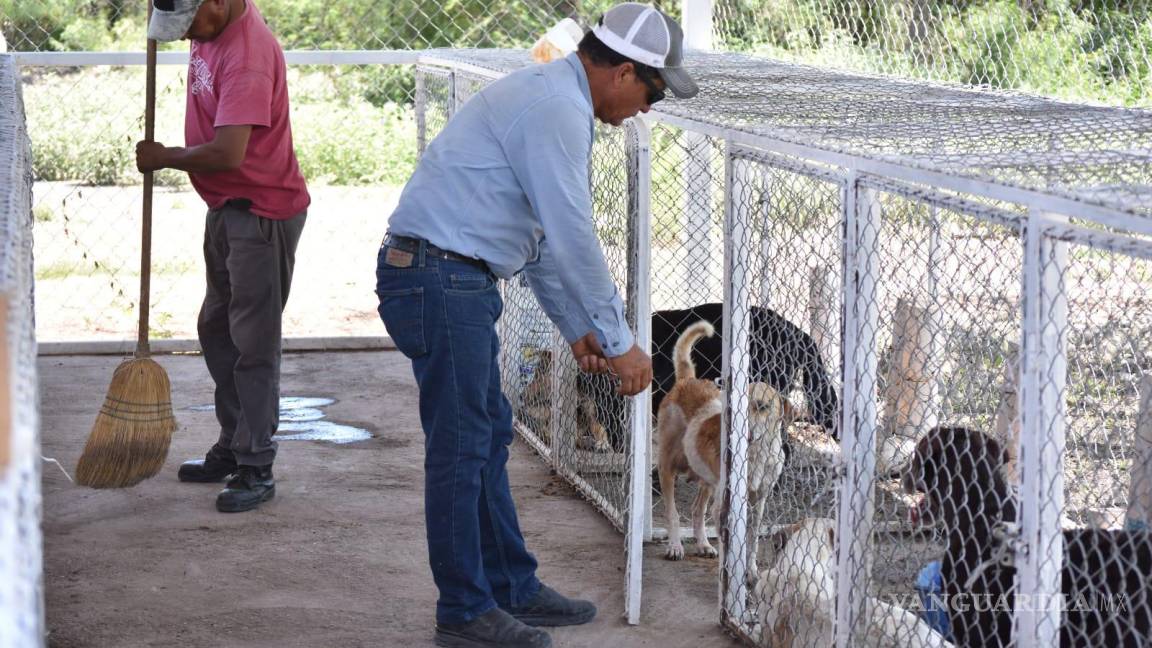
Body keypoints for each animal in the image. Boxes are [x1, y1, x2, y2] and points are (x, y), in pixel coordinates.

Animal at [658, 320, 792, 567]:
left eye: (762, 406)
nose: (745, 433)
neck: (756, 455)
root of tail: (687, 380)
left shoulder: (758, 503)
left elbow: (752, 542)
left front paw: (751, 570)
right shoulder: (724, 507)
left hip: (707, 479)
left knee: (697, 510)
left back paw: (703, 544)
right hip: (668, 467)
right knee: (673, 513)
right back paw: (675, 546)